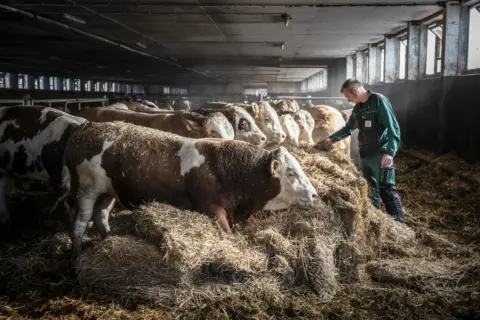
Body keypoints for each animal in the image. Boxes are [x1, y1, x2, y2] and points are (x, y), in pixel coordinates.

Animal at [63, 121, 318, 258]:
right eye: (292, 173)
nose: (315, 194)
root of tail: (84, 127)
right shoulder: (212, 210)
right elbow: (227, 236)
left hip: (109, 192)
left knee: (100, 215)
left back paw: (108, 239)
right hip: (86, 189)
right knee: (81, 220)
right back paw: (76, 252)